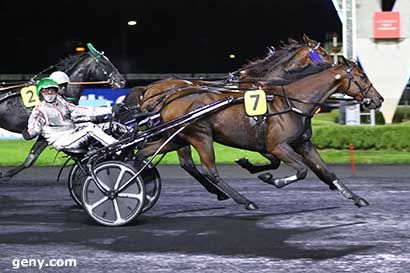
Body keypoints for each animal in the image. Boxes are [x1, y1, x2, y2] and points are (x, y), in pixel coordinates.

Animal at [123, 34, 334, 200]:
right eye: (323, 53)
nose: (334, 65)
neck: (263, 84)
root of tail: (149, 88)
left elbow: (275, 161)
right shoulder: (262, 136)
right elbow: (274, 159)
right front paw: (250, 166)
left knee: (181, 162)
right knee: (186, 163)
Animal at [136, 58, 382, 209]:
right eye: (362, 77)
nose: (378, 99)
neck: (292, 102)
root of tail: (165, 97)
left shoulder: (303, 144)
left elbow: (326, 172)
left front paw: (357, 198)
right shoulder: (278, 146)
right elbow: (301, 170)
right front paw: (271, 179)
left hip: (177, 137)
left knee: (143, 154)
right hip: (200, 136)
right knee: (209, 170)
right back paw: (245, 201)